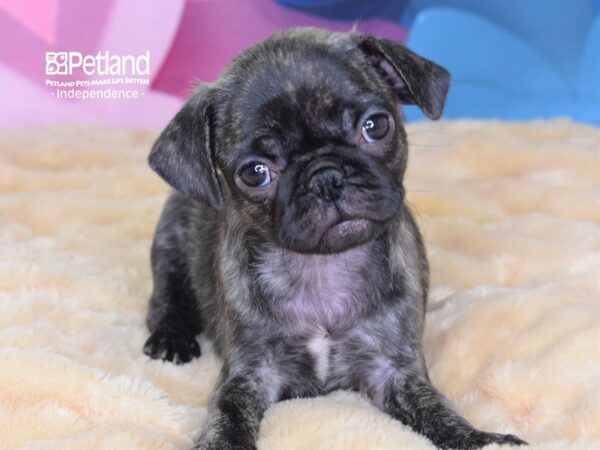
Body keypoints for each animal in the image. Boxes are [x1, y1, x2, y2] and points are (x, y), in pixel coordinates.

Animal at [143, 28, 528, 450]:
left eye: (376, 126)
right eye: (255, 173)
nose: (326, 177)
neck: (322, 265)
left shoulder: (393, 369)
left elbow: (437, 409)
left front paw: (481, 439)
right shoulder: (250, 373)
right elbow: (227, 412)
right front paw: (221, 443)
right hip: (170, 244)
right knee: (166, 298)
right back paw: (170, 338)